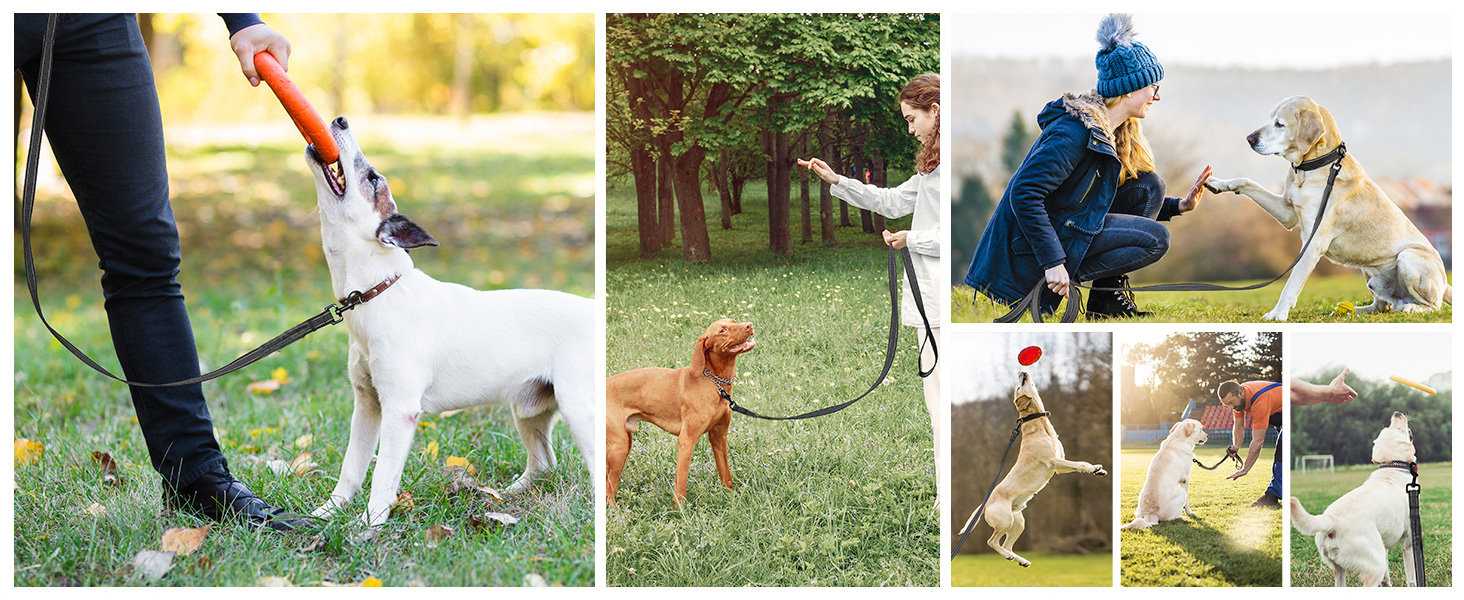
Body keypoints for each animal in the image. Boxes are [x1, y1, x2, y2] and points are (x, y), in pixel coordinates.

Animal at [303, 116, 594, 523]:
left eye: (373, 178)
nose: (340, 120)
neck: (379, 292)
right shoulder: (367, 406)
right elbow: (351, 468)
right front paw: (327, 514)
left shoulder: (400, 410)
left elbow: (382, 476)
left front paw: (370, 524)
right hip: (529, 409)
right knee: (543, 464)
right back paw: (505, 495)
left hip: (579, 408)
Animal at [603, 319, 755, 506]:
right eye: (722, 330)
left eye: (734, 321)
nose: (749, 325)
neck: (715, 384)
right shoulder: (686, 440)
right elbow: (681, 483)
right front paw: (680, 510)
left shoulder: (718, 437)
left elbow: (726, 476)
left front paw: (731, 499)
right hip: (619, 445)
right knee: (608, 488)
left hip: (623, 444)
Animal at [972, 370, 1106, 567]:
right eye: (1018, 387)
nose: (1021, 371)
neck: (1041, 427)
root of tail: (985, 504)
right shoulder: (1053, 461)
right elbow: (1079, 464)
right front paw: (1093, 469)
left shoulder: (1060, 463)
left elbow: (1081, 464)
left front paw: (1097, 469)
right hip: (1005, 520)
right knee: (992, 541)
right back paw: (1007, 555)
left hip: (1018, 522)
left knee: (1007, 545)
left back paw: (1020, 560)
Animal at [1200, 97, 1452, 323]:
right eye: (1270, 119)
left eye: (1279, 124)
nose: (1249, 138)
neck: (1311, 168)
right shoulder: (1287, 213)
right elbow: (1247, 181)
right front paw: (1217, 182)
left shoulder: (1312, 244)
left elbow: (1291, 284)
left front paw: (1277, 314)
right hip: (1369, 272)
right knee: (1384, 306)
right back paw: (1353, 310)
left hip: (1409, 258)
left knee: (1432, 305)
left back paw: (1413, 308)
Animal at [1294, 412, 1417, 585]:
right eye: (1399, 429)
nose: (1396, 413)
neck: (1391, 466)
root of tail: (1331, 520)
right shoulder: (1409, 541)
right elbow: (1412, 578)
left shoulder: (1384, 545)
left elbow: (1386, 579)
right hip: (1374, 567)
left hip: (1342, 568)